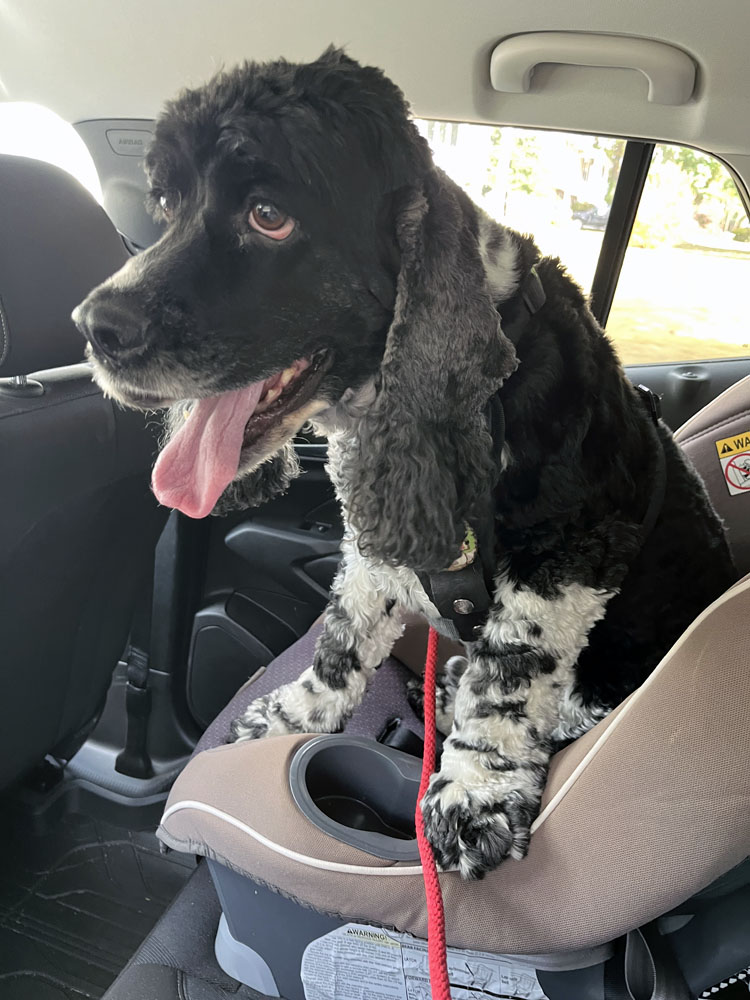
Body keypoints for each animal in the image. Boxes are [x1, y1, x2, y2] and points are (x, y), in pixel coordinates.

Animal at [75, 48, 736, 876]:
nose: (94, 325)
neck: (488, 388)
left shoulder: (572, 548)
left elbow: (511, 673)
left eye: (268, 214)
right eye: (167, 204)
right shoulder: (380, 531)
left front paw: (476, 792)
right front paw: (293, 713)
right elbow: (343, 638)